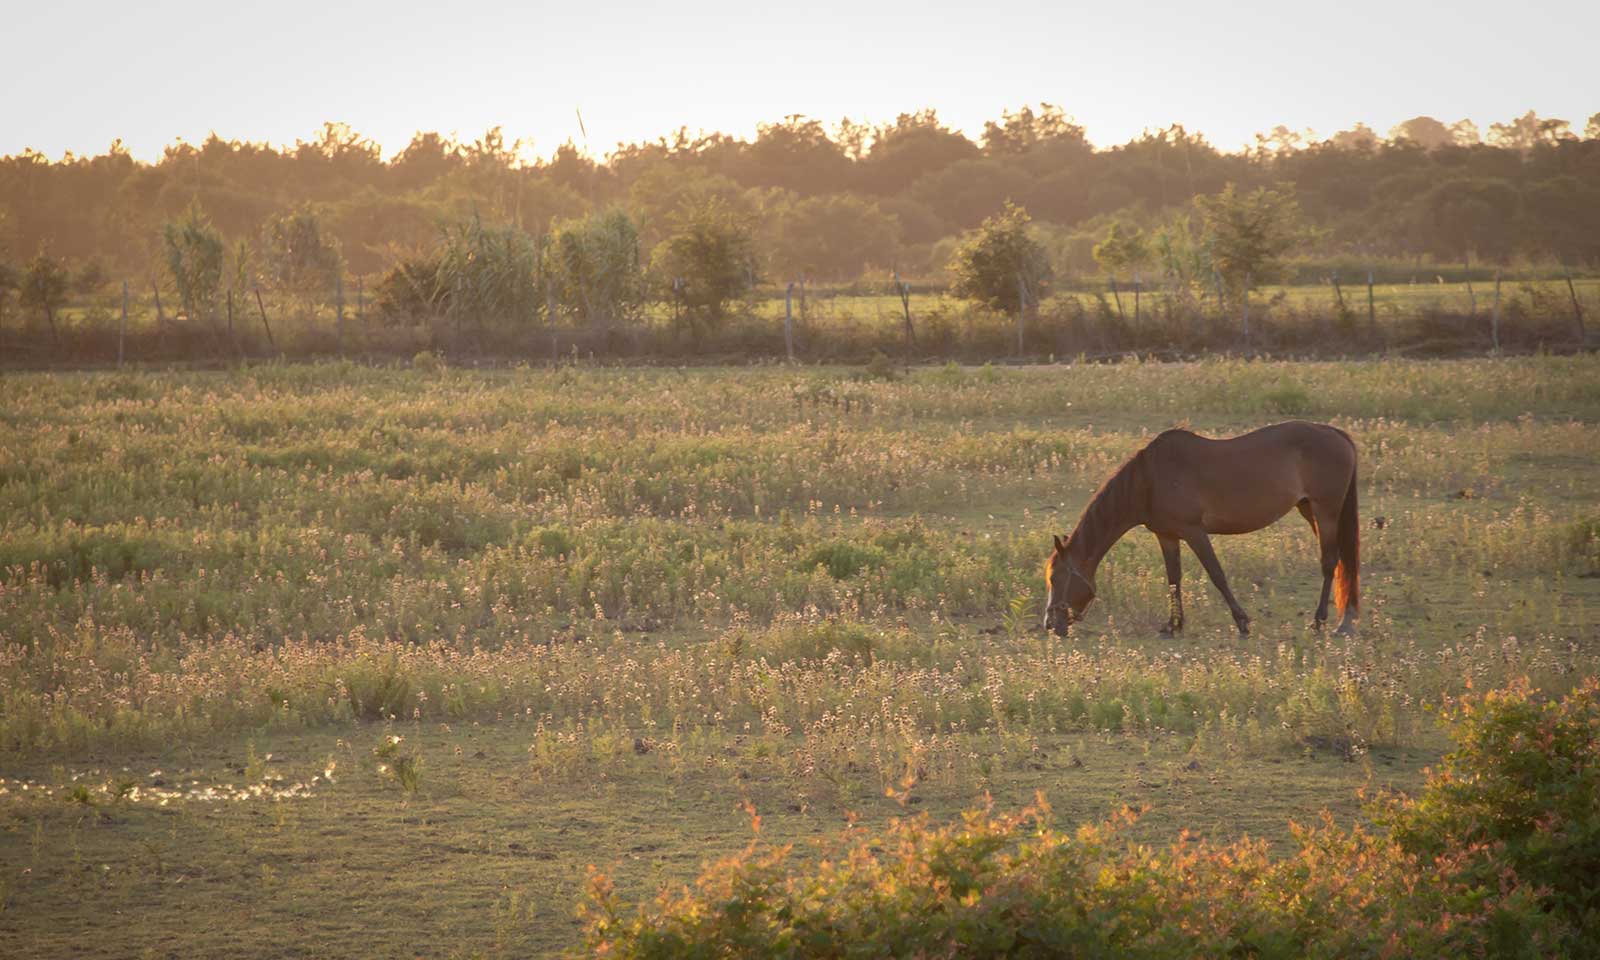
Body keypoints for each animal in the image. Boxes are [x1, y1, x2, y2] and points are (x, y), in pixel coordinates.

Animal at [1036, 422, 1363, 636]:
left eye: (1056, 578)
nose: (1050, 625)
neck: (1149, 480)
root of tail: (1337, 434)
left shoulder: (1194, 532)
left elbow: (1216, 575)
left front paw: (1242, 621)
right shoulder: (1167, 536)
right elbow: (1174, 579)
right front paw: (1173, 624)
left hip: (1326, 511)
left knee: (1330, 562)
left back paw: (1322, 621)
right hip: (1309, 509)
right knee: (1340, 562)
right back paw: (1345, 619)